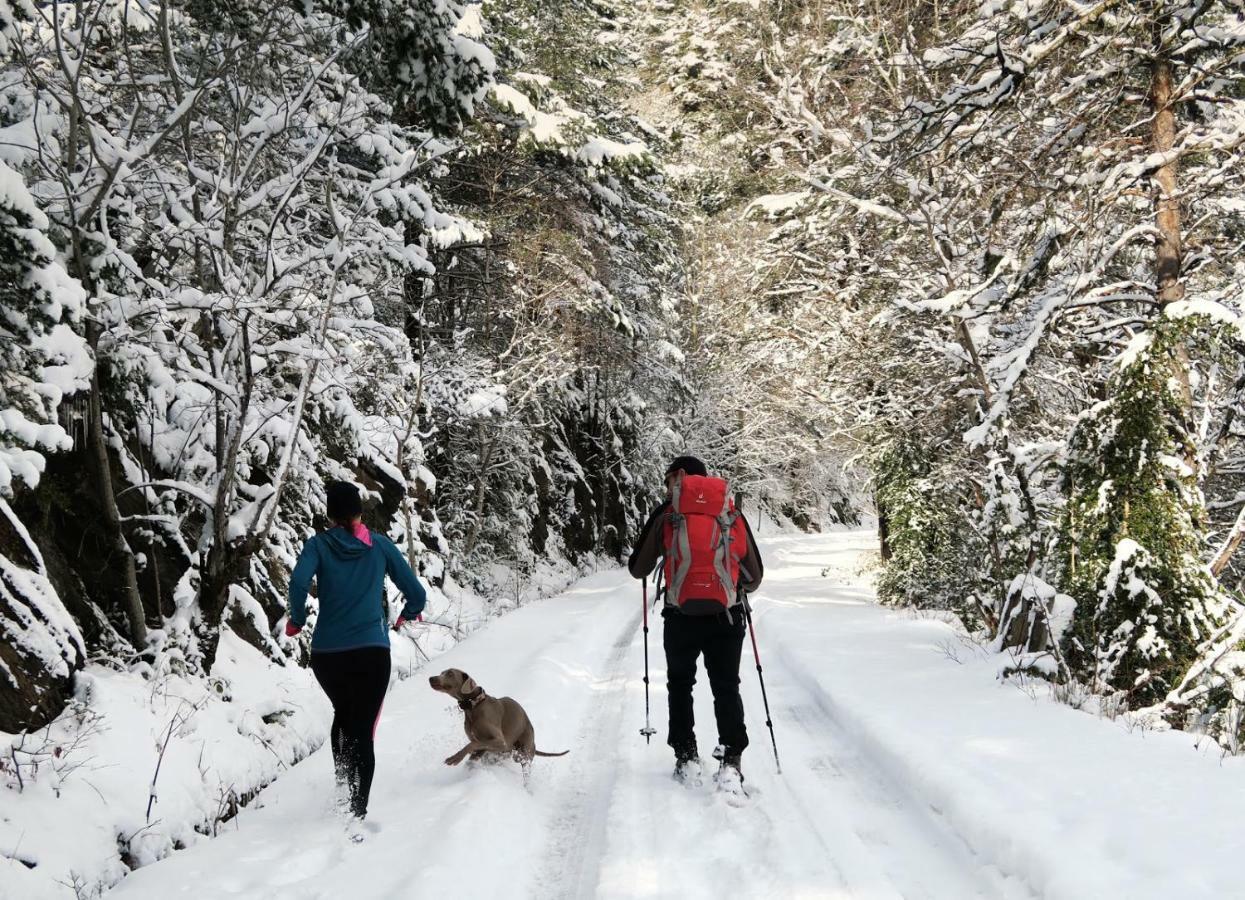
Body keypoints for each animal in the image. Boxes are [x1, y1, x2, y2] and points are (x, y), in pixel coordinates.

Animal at [425, 667, 567, 776]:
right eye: (442, 672)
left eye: (450, 673)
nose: (431, 678)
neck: (474, 705)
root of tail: (534, 743)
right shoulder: (484, 749)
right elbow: (473, 751)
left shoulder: (501, 742)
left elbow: (474, 743)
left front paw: (455, 758)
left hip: (523, 754)